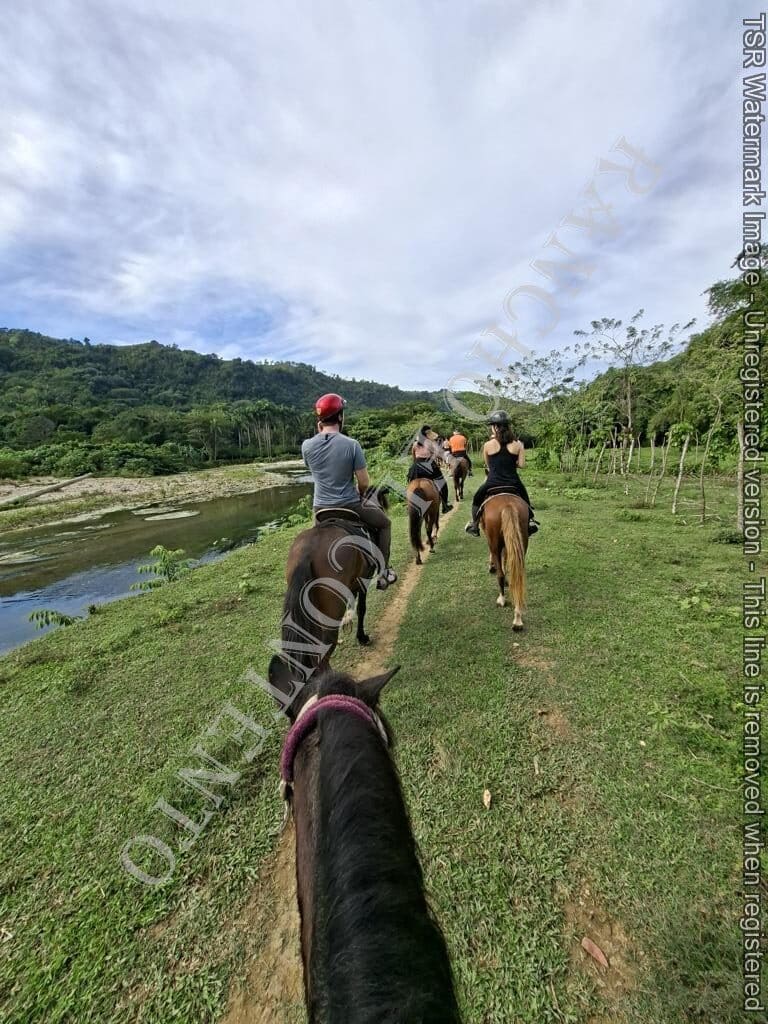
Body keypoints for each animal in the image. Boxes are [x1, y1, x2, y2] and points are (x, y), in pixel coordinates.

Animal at [479, 492, 529, 629]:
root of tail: (508, 505)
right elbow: (505, 559)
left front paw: (491, 566)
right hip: (521, 540)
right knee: (517, 574)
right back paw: (517, 617)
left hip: (495, 542)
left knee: (500, 573)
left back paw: (501, 599)